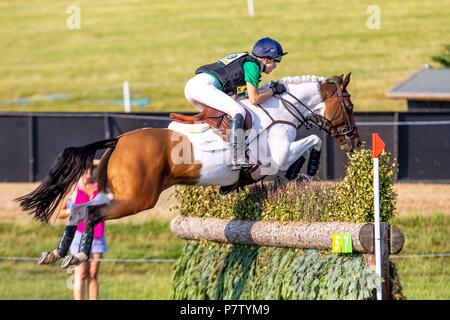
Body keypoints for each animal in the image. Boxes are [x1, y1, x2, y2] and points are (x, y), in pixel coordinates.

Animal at [15, 72, 362, 268]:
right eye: (349, 105)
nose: (355, 142)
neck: (277, 111)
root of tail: (119, 139)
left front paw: (296, 173)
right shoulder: (276, 156)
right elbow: (311, 141)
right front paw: (307, 166)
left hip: (116, 193)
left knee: (78, 209)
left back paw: (58, 253)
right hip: (137, 199)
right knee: (91, 214)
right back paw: (79, 256)